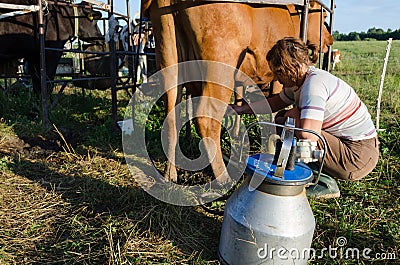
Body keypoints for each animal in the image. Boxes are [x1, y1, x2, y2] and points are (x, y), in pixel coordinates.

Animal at [144, 0, 334, 183]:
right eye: (324, 17)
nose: (330, 41)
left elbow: (241, 99)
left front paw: (237, 132)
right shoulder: (277, 76)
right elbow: (273, 111)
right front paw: (272, 147)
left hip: (169, 58)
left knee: (172, 118)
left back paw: (170, 174)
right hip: (221, 65)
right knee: (206, 117)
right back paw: (223, 177)